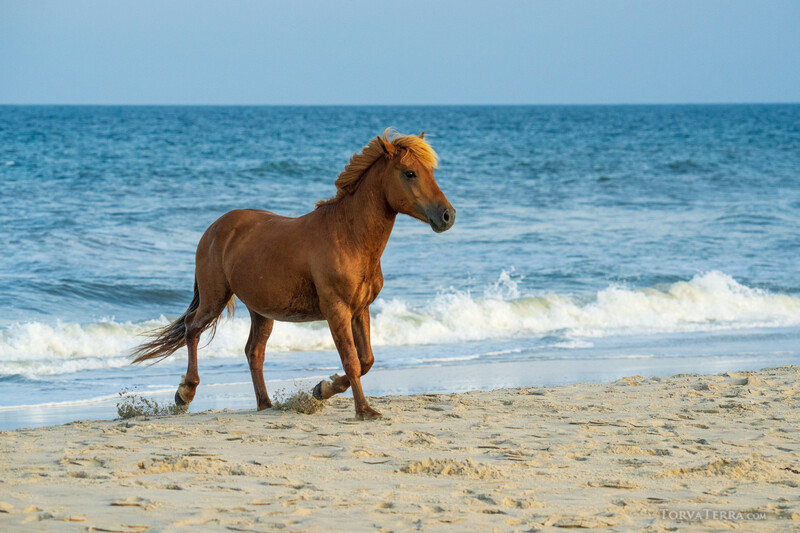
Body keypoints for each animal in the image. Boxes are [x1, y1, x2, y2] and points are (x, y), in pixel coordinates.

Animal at [131, 128, 455, 420]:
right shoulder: (337, 310)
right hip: (215, 298)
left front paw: (321, 389)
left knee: (253, 352)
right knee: (192, 329)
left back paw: (265, 404)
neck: (348, 235)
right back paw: (184, 394)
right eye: (410, 173)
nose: (447, 216)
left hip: (261, 311)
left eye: (430, 171)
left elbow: (366, 360)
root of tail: (214, 229)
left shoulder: (360, 309)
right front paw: (363, 410)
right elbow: (351, 361)